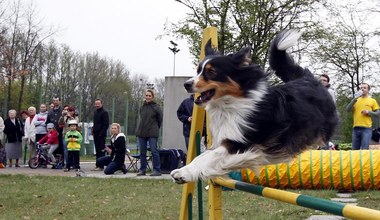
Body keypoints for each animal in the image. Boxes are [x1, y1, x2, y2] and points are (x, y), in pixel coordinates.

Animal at [171, 29, 336, 184]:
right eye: (198, 70)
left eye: (211, 72)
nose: (186, 84)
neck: (230, 104)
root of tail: (308, 79)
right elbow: (202, 155)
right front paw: (184, 171)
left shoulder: (241, 142)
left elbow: (210, 156)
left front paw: (183, 173)